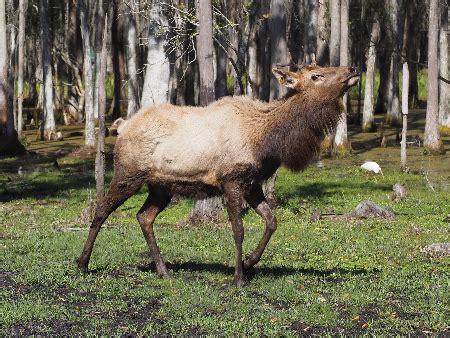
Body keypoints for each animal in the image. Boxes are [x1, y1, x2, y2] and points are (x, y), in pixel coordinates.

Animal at [76, 61, 358, 286]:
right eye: (316, 75)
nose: (353, 69)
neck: (267, 141)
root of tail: (122, 126)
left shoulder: (252, 182)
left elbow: (271, 221)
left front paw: (249, 262)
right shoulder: (230, 179)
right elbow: (238, 229)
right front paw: (238, 276)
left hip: (162, 186)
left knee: (144, 217)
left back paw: (163, 270)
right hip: (128, 173)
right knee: (102, 209)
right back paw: (82, 263)